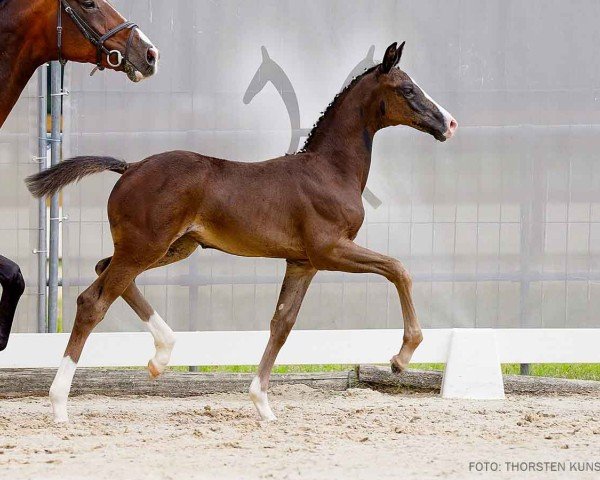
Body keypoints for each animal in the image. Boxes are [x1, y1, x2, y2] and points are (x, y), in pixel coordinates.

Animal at [27, 43, 460, 422]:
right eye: (408, 89)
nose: (450, 123)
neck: (330, 169)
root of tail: (130, 166)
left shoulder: (302, 262)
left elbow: (282, 324)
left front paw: (262, 404)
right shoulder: (330, 250)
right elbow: (398, 269)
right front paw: (402, 357)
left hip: (171, 248)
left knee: (105, 272)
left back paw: (161, 356)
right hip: (145, 248)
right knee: (92, 301)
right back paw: (60, 405)